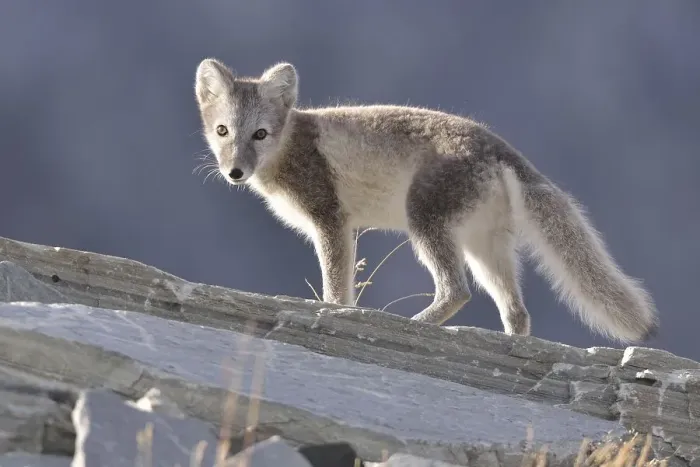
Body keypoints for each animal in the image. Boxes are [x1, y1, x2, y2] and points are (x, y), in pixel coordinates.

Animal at [193, 58, 659, 343]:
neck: (289, 145)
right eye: (222, 131)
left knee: (457, 292)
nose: (235, 172)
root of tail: (500, 147)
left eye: (260, 134)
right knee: (516, 311)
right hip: (484, 248)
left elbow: (337, 290)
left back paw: (413, 324)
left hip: (425, 225)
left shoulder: (331, 221)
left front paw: (336, 315)